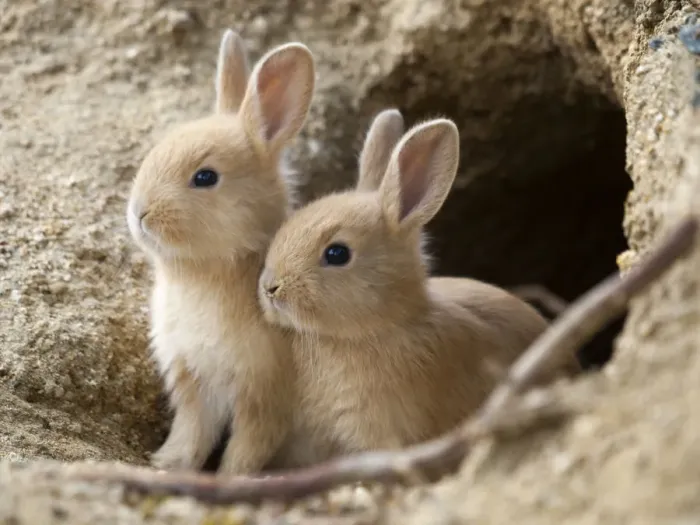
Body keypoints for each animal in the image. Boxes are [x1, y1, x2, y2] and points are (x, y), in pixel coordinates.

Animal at [126, 29, 315, 475]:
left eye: (205, 177)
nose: (139, 212)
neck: (203, 275)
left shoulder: (264, 398)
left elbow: (246, 447)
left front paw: (231, 478)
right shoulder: (194, 381)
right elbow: (191, 432)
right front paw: (165, 463)